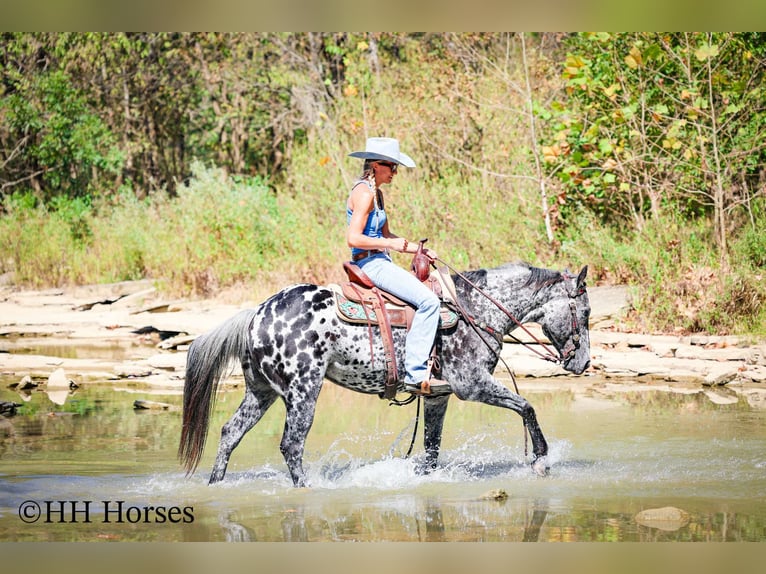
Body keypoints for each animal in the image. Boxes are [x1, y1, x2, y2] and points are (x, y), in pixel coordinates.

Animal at [178, 262, 591, 486]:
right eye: (586, 313)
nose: (584, 363)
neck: (475, 310)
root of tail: (258, 313)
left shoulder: (438, 396)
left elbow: (431, 450)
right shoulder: (472, 385)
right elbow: (527, 407)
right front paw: (541, 460)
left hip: (260, 391)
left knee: (230, 433)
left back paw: (215, 485)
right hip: (303, 391)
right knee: (291, 445)